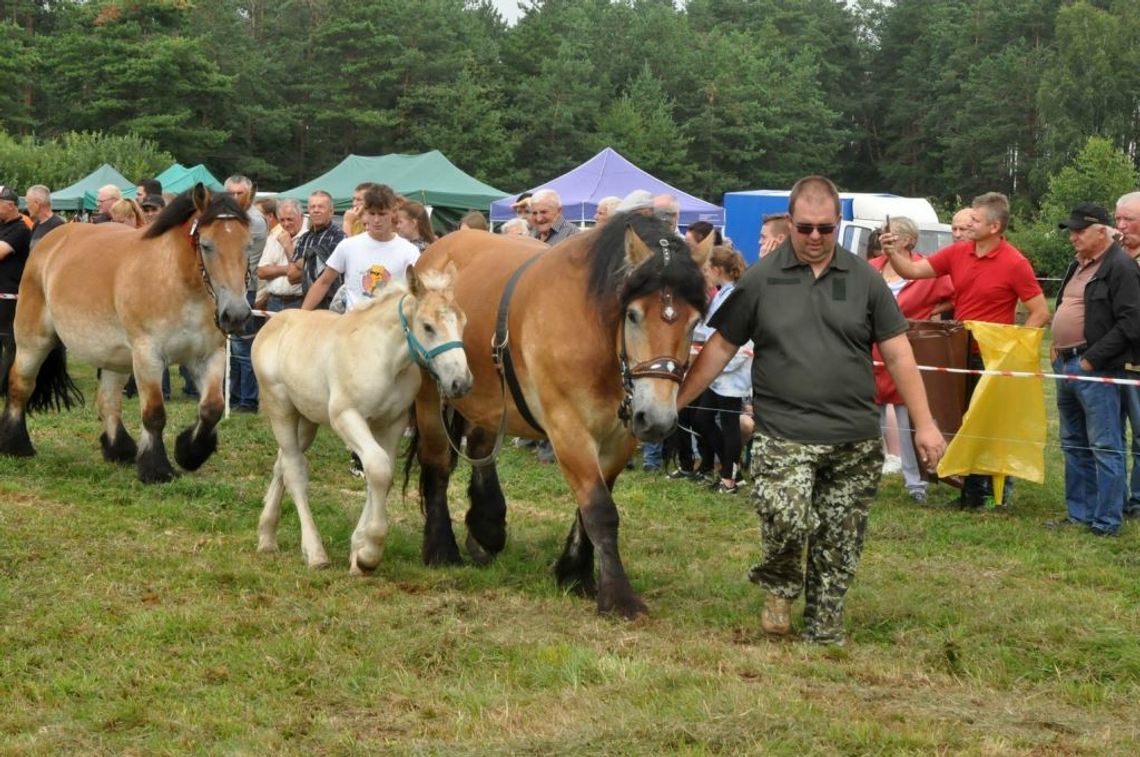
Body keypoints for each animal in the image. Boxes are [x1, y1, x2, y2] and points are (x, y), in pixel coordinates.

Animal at [0, 182, 254, 485]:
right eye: (206, 245)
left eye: (248, 245)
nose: (236, 315)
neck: (178, 283)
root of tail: (49, 242)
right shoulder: (148, 356)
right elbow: (154, 413)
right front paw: (156, 468)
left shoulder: (209, 356)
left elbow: (212, 407)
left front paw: (189, 453)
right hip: (33, 341)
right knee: (20, 385)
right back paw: (16, 445)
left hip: (115, 357)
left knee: (108, 401)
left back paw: (119, 449)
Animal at [410, 214, 711, 620]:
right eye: (633, 315)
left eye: (694, 322)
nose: (659, 420)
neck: (596, 331)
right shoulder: (568, 428)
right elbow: (600, 508)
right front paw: (618, 595)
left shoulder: (621, 436)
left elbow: (592, 504)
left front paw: (574, 572)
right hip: (430, 395)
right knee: (438, 462)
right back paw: (442, 547)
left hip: (490, 399)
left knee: (481, 449)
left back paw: (487, 528)